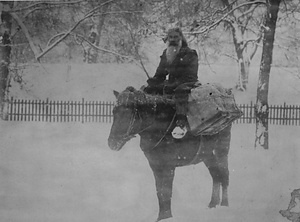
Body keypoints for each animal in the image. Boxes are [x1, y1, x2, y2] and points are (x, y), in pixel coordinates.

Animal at [108, 86, 232, 221]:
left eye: (129, 112)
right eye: (114, 111)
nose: (112, 142)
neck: (160, 127)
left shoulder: (169, 167)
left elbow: (167, 191)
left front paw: (166, 216)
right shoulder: (155, 166)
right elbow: (160, 192)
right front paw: (161, 217)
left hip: (221, 150)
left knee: (224, 175)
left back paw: (225, 204)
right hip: (207, 155)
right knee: (216, 175)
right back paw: (213, 203)